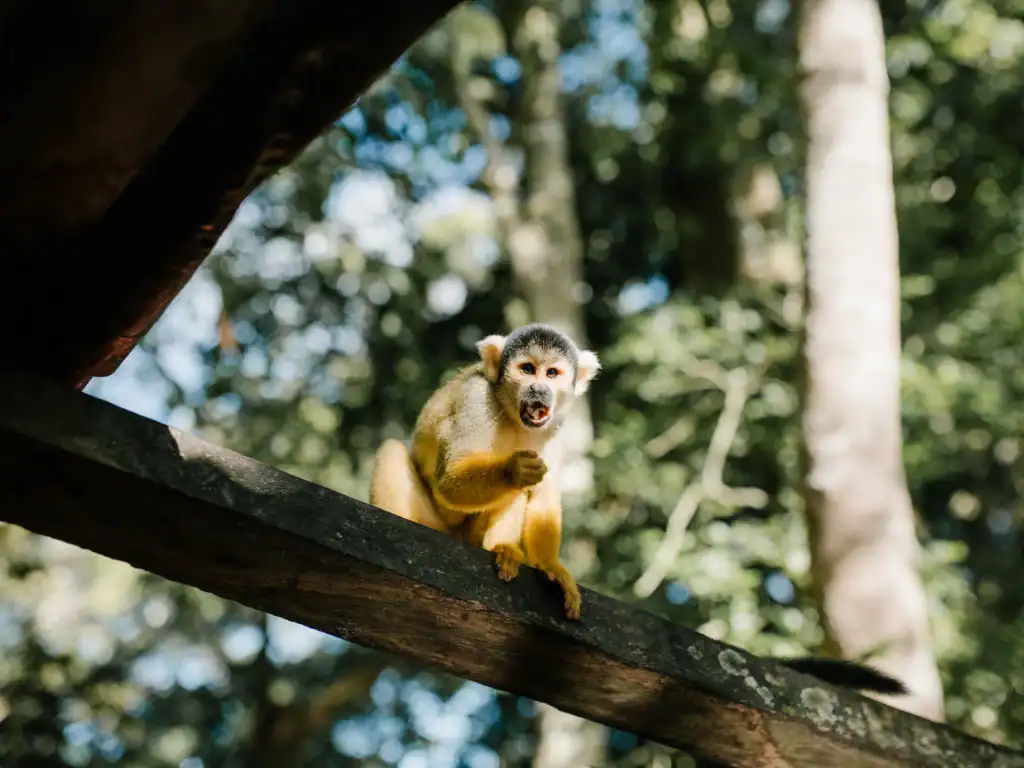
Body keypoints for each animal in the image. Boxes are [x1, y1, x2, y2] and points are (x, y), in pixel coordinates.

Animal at [369, 323, 600, 621]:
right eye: (527, 369)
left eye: (552, 373)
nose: (538, 389)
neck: (513, 415)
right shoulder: (476, 397)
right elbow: (451, 476)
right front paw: (511, 470)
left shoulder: (555, 423)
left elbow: (543, 489)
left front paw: (550, 565)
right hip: (434, 524)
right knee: (391, 450)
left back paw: (502, 548)